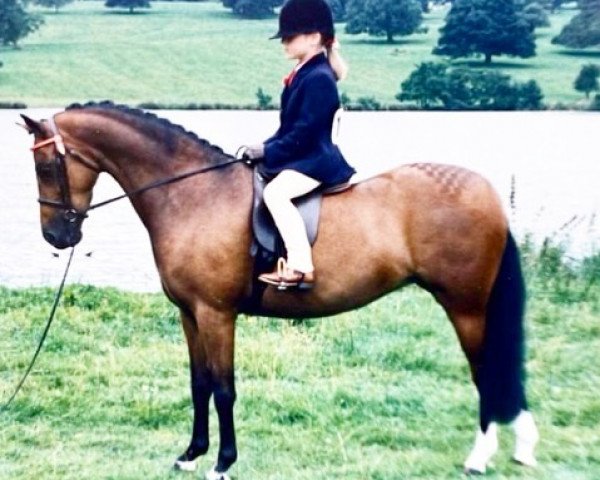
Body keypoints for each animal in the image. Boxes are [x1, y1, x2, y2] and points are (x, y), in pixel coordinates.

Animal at [22, 103, 540, 478]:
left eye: (46, 166)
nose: (55, 237)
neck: (192, 195)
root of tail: (488, 195)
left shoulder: (216, 314)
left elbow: (224, 389)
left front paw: (222, 463)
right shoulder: (190, 314)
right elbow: (198, 384)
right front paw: (191, 453)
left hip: (467, 307)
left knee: (487, 372)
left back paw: (479, 457)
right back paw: (522, 447)